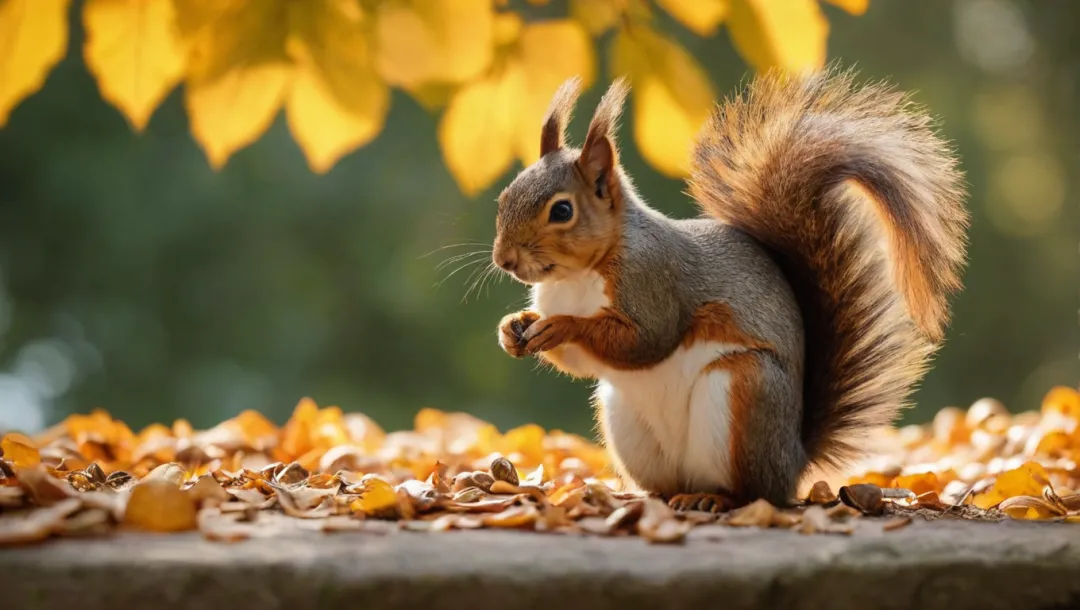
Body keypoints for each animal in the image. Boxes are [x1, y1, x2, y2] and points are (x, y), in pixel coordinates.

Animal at [490, 66, 972, 509]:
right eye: (504, 198)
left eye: (562, 210)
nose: (504, 259)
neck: (575, 278)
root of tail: (794, 460)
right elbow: (577, 361)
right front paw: (514, 327)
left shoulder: (655, 282)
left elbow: (644, 342)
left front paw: (562, 325)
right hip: (626, 419)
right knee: (672, 482)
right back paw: (656, 496)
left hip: (744, 393)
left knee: (752, 493)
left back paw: (715, 499)